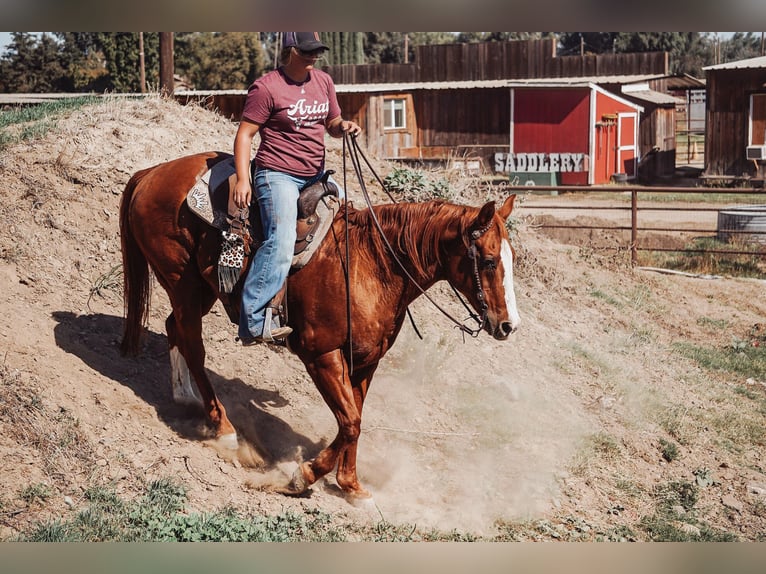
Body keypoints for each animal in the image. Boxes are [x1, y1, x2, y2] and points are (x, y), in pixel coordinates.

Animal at [119, 150, 520, 501]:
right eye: (488, 261)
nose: (508, 325)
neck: (372, 265)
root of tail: (150, 173)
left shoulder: (365, 361)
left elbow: (355, 419)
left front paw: (351, 485)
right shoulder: (322, 355)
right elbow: (351, 422)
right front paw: (303, 476)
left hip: (199, 290)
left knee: (175, 327)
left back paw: (185, 396)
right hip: (184, 282)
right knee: (193, 343)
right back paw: (224, 429)